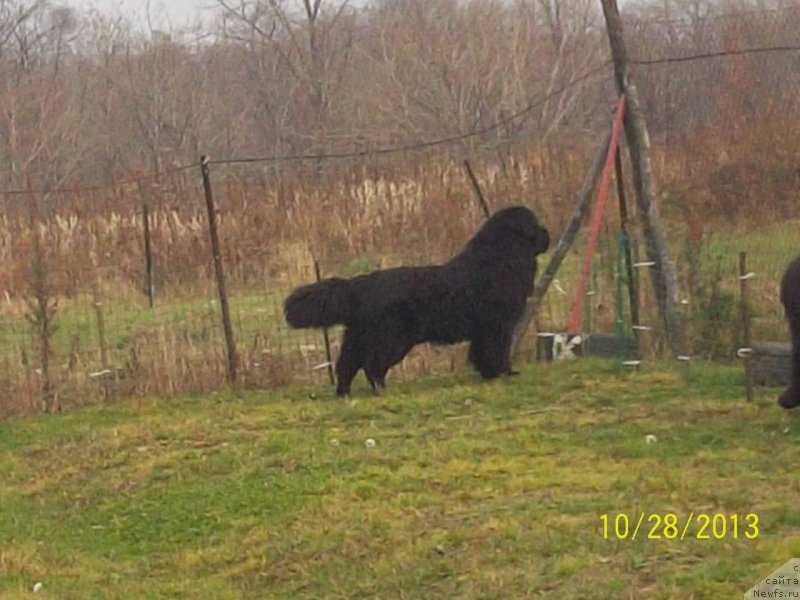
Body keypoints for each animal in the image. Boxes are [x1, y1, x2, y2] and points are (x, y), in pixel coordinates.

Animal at [284, 204, 552, 396]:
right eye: (535, 224)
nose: (547, 233)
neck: (501, 257)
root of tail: (360, 285)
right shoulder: (498, 325)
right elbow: (498, 350)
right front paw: (504, 373)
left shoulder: (483, 330)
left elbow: (482, 353)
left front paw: (489, 374)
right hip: (392, 338)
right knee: (372, 364)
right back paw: (381, 389)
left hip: (357, 337)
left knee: (346, 365)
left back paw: (344, 393)